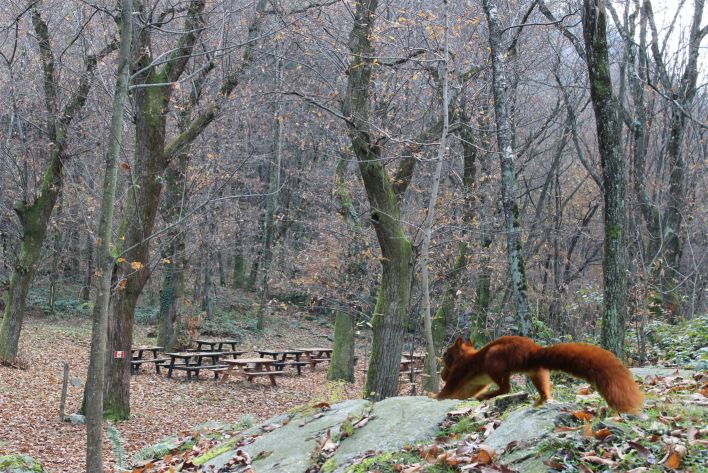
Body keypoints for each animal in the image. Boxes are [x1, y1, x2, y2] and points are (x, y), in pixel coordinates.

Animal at [436, 336, 640, 412]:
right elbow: (461, 392)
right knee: (543, 389)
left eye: (446, 353)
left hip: (494, 361)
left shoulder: (459, 371)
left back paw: (486, 395)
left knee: (506, 387)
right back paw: (539, 401)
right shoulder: (473, 382)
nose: (441, 357)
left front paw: (435, 395)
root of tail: (532, 352)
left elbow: (448, 389)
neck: (466, 356)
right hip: (537, 373)